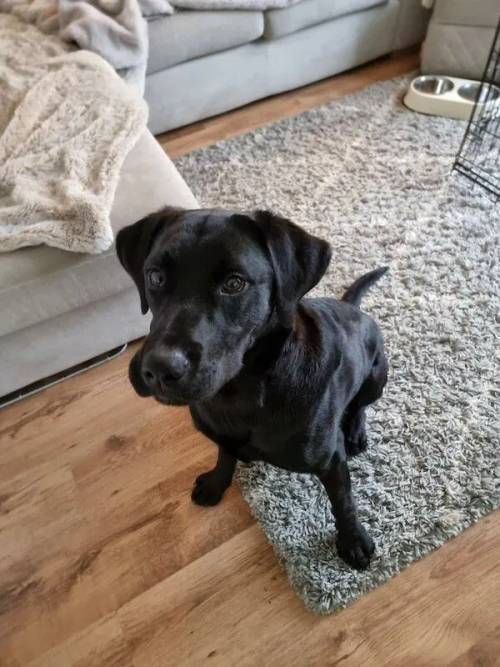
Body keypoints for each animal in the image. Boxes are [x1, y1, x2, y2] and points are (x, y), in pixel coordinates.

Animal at [116, 207, 386, 568]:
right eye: (156, 277)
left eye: (234, 284)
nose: (160, 368)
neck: (242, 392)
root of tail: (353, 308)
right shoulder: (222, 434)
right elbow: (225, 454)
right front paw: (216, 483)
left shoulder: (330, 461)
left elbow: (343, 501)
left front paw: (353, 539)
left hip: (376, 376)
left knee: (359, 405)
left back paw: (355, 431)